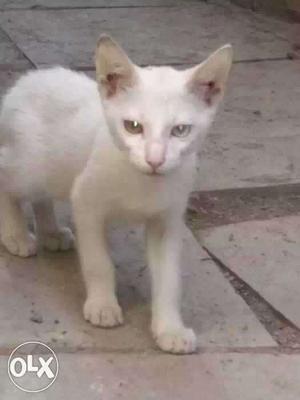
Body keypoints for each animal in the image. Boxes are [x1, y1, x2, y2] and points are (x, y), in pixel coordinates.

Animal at [0, 35, 232, 354]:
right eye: (133, 126)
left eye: (180, 130)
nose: (155, 160)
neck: (143, 183)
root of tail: (26, 82)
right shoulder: (86, 201)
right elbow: (98, 262)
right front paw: (102, 305)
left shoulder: (168, 219)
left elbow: (169, 278)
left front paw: (169, 328)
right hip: (30, 165)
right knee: (7, 177)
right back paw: (17, 235)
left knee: (42, 196)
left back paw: (51, 232)